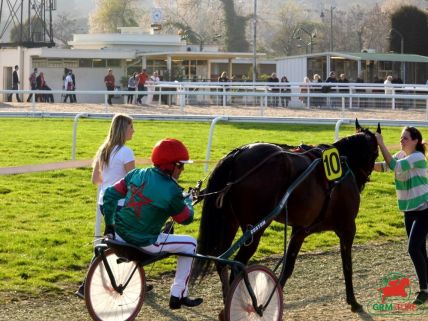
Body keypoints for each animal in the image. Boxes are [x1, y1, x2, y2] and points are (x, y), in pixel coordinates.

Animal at [192, 119, 380, 312]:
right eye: (376, 153)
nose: (363, 181)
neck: (341, 169)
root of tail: (238, 154)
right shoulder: (348, 227)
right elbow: (347, 265)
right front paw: (353, 301)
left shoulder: (300, 230)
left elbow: (288, 267)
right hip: (254, 228)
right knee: (238, 264)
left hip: (229, 222)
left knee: (221, 261)